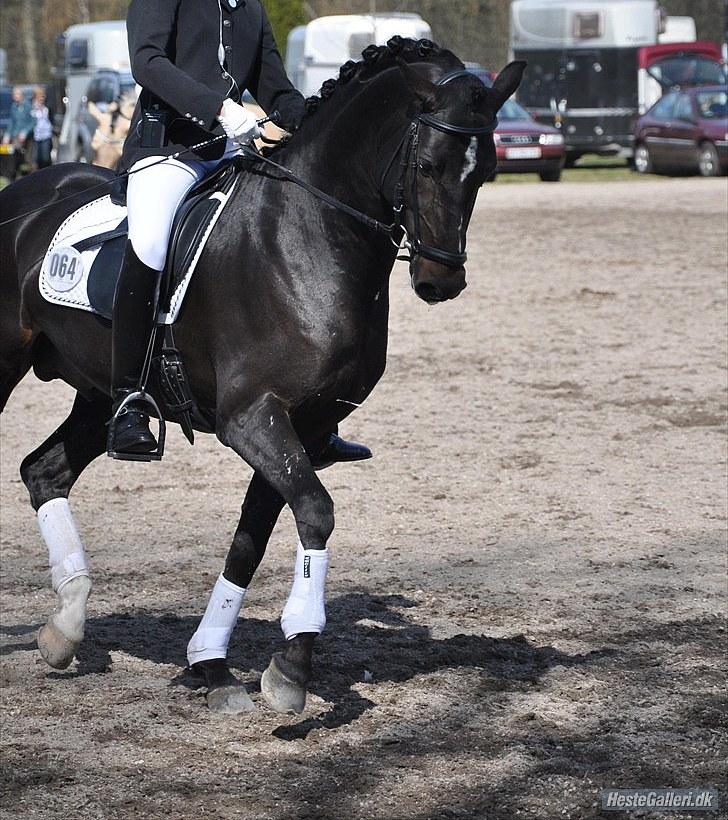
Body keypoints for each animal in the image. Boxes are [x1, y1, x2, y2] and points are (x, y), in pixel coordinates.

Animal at [0, 38, 524, 715]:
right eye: (429, 165)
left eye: (484, 172)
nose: (441, 281)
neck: (308, 234)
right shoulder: (251, 417)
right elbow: (316, 512)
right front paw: (291, 669)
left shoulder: (304, 424)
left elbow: (255, 536)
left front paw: (216, 664)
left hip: (100, 395)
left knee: (45, 471)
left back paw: (65, 628)